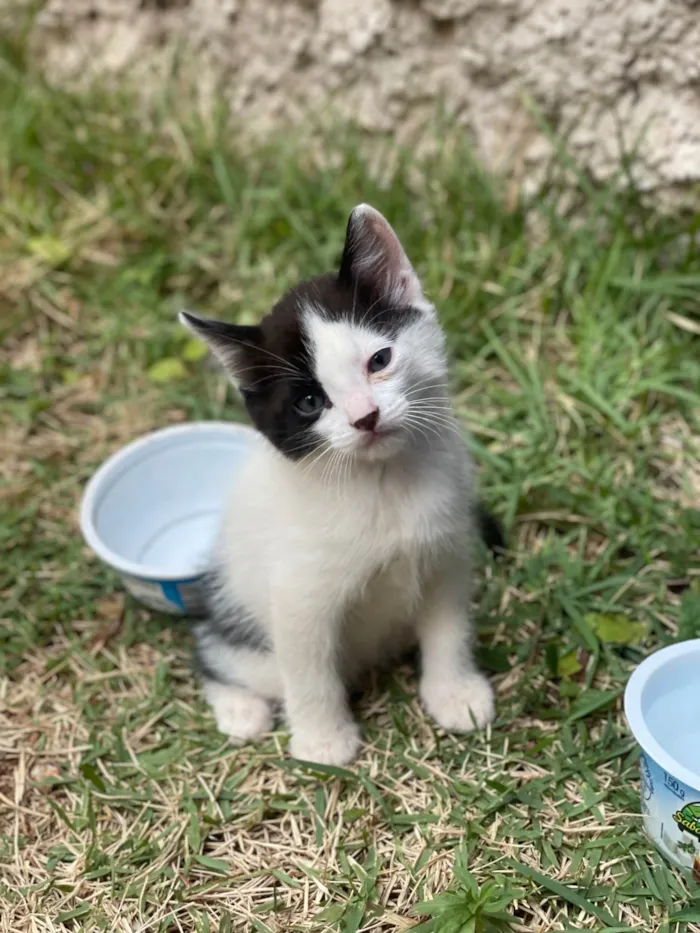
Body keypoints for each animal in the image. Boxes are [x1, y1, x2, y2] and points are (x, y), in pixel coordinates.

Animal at [180, 204, 498, 764]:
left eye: (380, 361)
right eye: (309, 402)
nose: (365, 417)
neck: (383, 484)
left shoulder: (447, 553)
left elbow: (449, 627)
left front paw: (455, 694)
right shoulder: (297, 596)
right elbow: (309, 672)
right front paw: (323, 741)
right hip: (240, 625)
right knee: (216, 653)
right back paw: (240, 710)